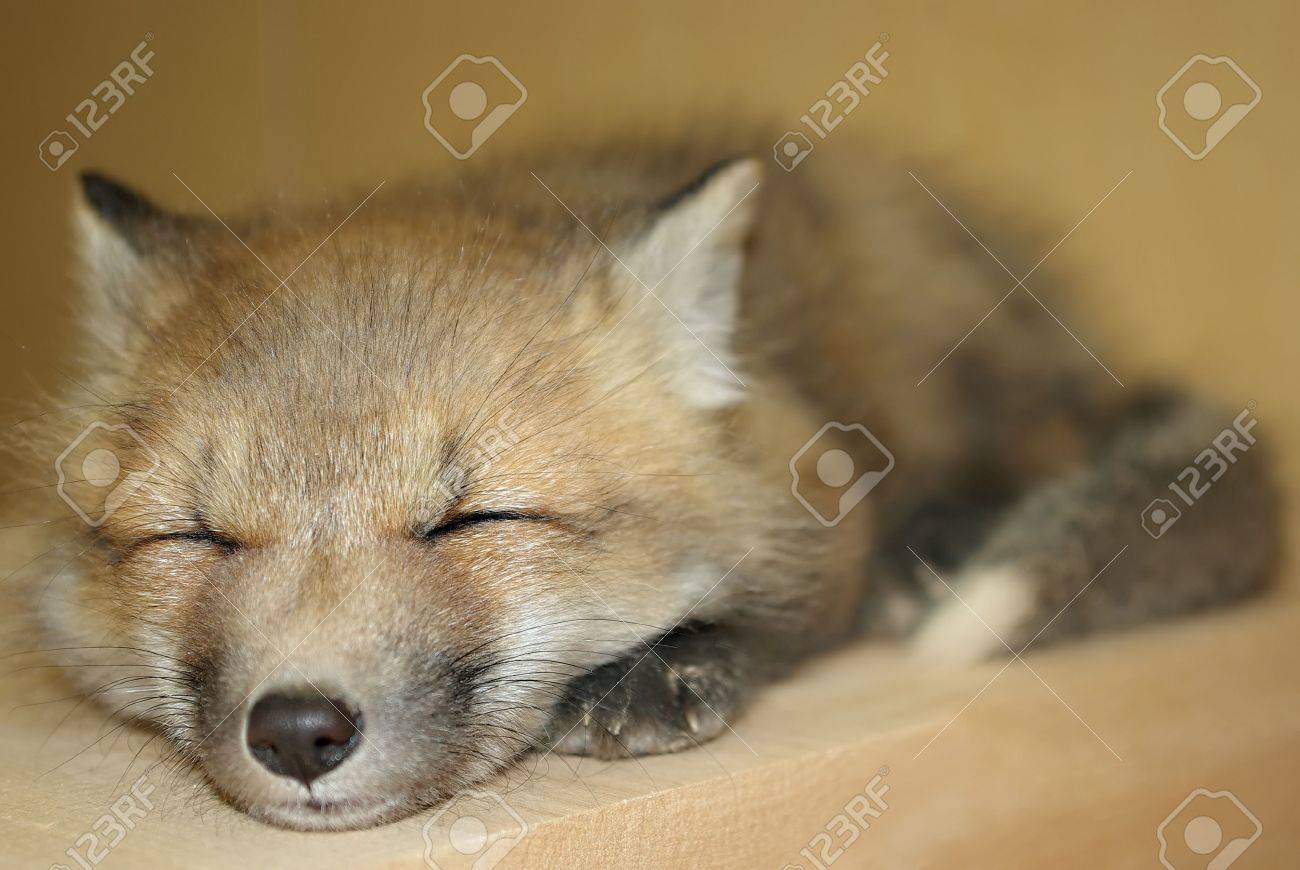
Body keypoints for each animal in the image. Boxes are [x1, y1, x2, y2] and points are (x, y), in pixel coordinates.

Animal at [20, 131, 1278, 831]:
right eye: (197, 537)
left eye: (471, 519)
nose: (296, 731)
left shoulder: (816, 477)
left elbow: (789, 601)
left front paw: (663, 668)